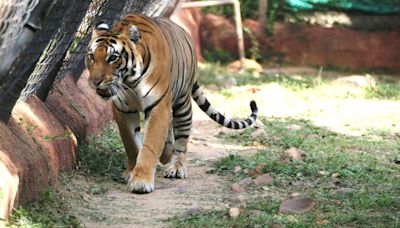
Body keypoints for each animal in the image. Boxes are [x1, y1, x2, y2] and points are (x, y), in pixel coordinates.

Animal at [85, 13, 258, 193]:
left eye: (113, 57)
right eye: (91, 56)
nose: (94, 82)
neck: (129, 82)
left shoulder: (158, 105)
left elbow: (150, 145)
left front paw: (141, 180)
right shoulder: (123, 109)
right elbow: (131, 142)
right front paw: (131, 171)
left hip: (183, 104)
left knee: (181, 139)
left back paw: (176, 167)